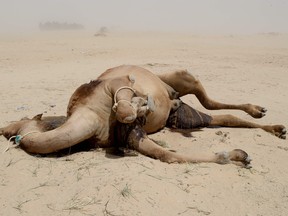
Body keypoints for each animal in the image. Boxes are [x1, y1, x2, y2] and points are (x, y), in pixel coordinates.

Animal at [0, 65, 286, 168]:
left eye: (15, 123)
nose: (4, 129)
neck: (91, 115)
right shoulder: (129, 136)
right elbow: (167, 155)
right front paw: (238, 156)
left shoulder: (115, 85)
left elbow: (124, 105)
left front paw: (141, 104)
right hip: (183, 116)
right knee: (221, 117)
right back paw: (274, 127)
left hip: (180, 77)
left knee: (208, 99)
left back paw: (260, 112)